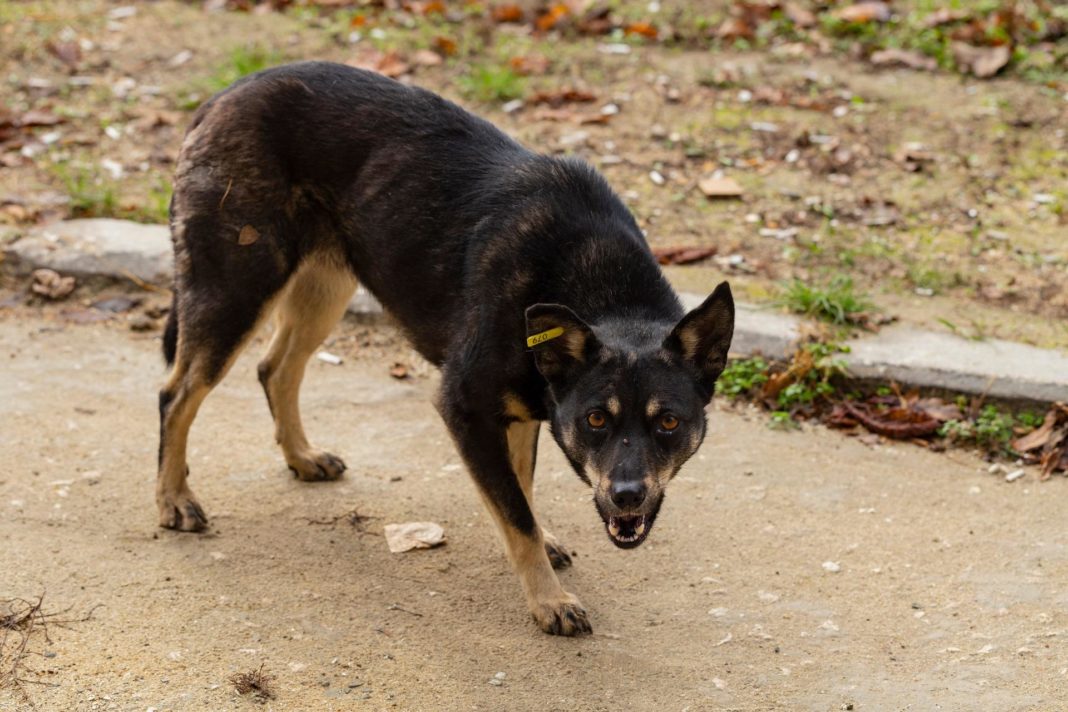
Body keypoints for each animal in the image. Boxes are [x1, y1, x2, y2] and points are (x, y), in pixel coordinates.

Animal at [160, 61, 734, 636]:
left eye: (669, 422)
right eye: (596, 420)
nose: (628, 496)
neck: (597, 287)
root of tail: (224, 94)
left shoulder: (520, 411)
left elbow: (520, 491)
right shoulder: (466, 408)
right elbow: (516, 512)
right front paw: (548, 598)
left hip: (324, 289)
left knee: (275, 368)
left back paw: (301, 457)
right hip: (238, 287)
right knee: (177, 393)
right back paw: (175, 501)